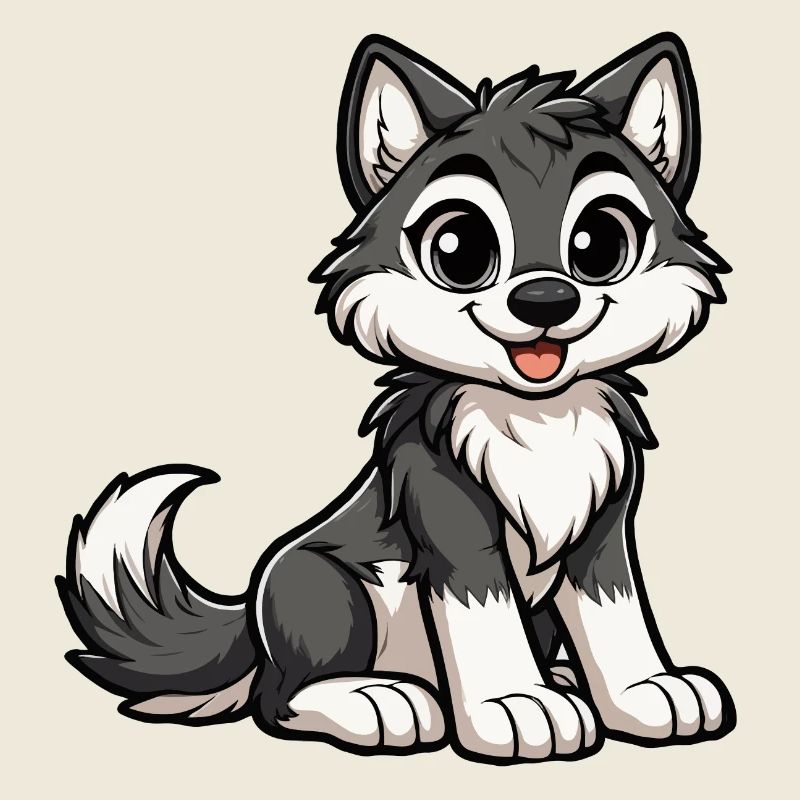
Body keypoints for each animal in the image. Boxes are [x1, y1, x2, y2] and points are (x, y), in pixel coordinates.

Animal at [57, 33, 736, 763]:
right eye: (460, 249)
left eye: (600, 243)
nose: (545, 300)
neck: (536, 418)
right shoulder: (451, 519)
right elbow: (484, 613)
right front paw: (512, 706)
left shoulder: (601, 526)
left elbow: (616, 612)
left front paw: (643, 692)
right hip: (321, 585)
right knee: (280, 698)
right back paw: (380, 701)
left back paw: (553, 677)